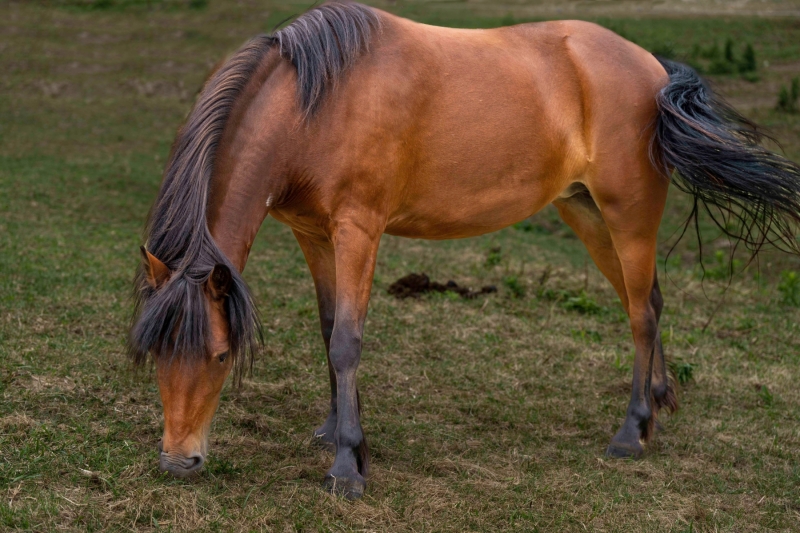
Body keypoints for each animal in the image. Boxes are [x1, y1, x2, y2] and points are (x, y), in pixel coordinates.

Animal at [129, 1, 800, 499]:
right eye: (156, 353)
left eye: (220, 356)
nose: (179, 462)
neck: (313, 106)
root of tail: (650, 67)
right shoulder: (313, 234)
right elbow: (326, 330)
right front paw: (334, 432)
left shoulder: (358, 230)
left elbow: (347, 340)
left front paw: (348, 465)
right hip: (586, 213)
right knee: (652, 303)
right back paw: (660, 403)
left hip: (628, 215)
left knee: (639, 314)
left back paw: (632, 433)